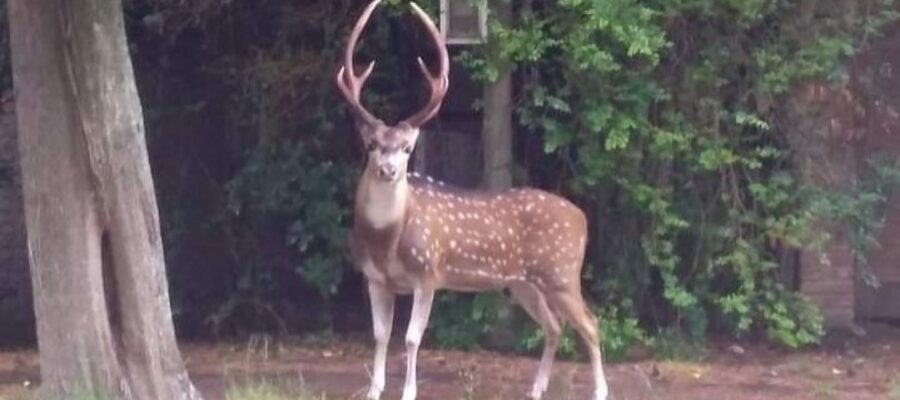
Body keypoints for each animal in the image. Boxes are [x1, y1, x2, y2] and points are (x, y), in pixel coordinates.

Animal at [335, 1, 609, 400]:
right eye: (372, 145)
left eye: (407, 149)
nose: (388, 170)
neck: (387, 241)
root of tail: (583, 218)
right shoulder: (375, 279)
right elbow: (381, 336)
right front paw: (373, 391)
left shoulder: (428, 271)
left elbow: (412, 338)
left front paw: (409, 392)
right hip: (523, 282)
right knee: (554, 325)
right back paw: (536, 388)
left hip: (562, 271)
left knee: (590, 323)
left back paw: (599, 390)